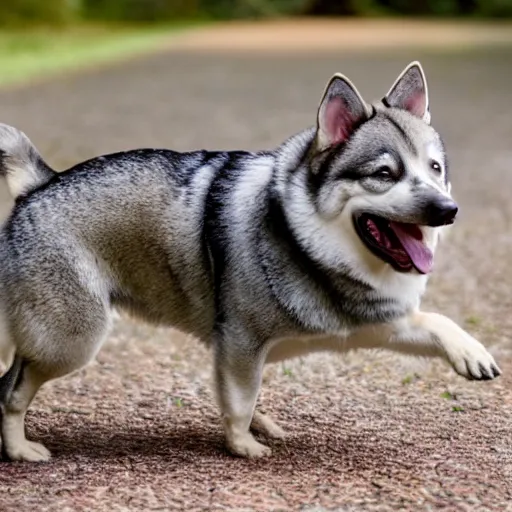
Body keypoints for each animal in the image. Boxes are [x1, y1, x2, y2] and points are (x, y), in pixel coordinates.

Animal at [0, 60, 500, 460]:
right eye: (384, 174)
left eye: (434, 169)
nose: (447, 210)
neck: (307, 239)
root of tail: (41, 184)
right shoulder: (241, 345)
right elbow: (239, 404)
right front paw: (242, 446)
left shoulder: (373, 323)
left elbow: (436, 321)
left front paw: (470, 352)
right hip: (71, 341)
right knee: (11, 391)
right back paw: (20, 449)